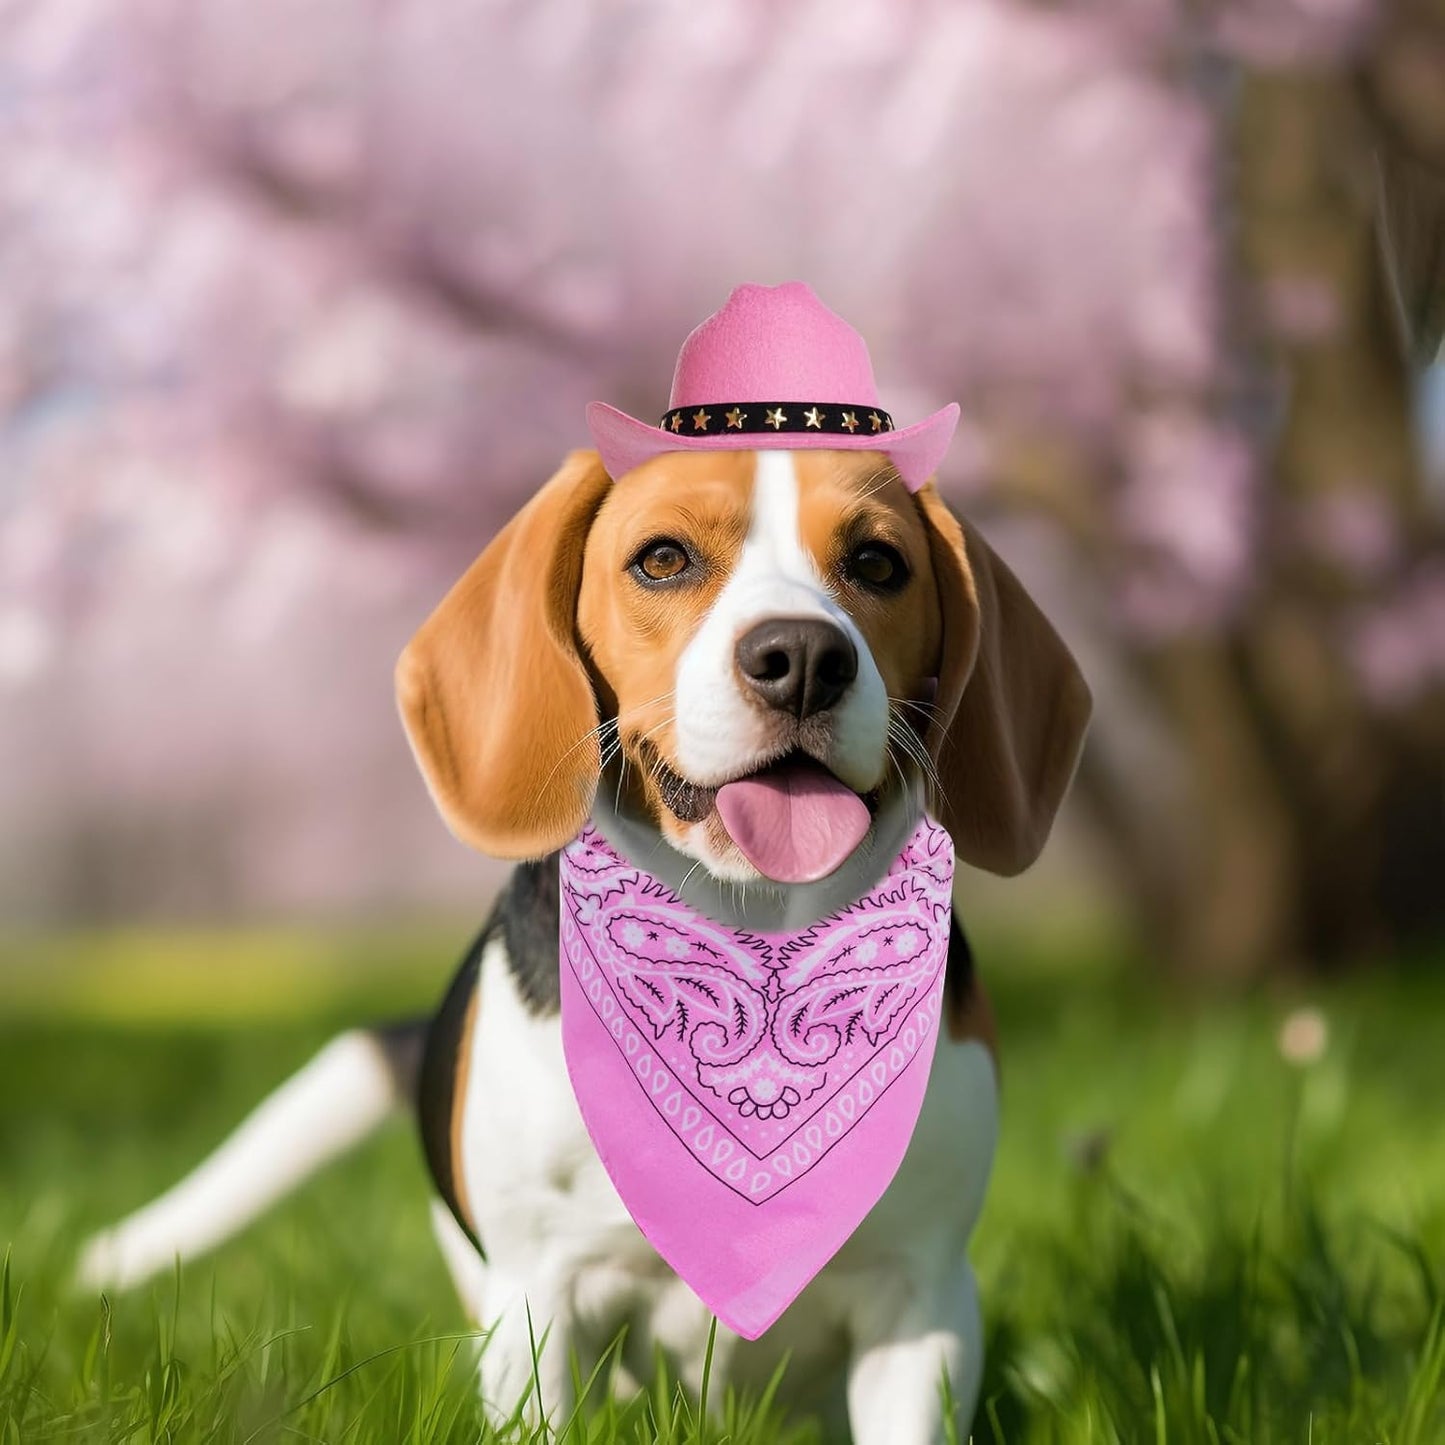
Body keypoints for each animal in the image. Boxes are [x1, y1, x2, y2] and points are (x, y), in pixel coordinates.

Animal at [82, 447, 1086, 1445]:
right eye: (662, 558)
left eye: (878, 564)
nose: (802, 658)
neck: (753, 933)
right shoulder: (539, 1297)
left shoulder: (920, 1299)